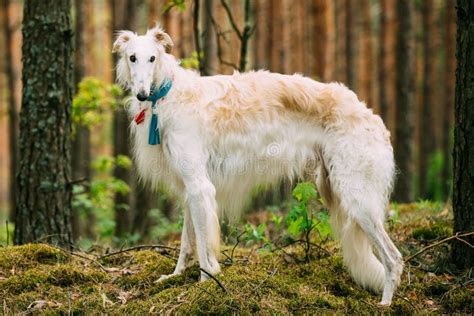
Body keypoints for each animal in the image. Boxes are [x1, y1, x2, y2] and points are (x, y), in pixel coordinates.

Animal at [112, 25, 404, 306]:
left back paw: (386, 303)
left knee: (394, 258)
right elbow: (186, 243)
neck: (167, 94)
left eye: (152, 58)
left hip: (357, 198)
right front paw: (175, 276)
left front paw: (205, 284)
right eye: (132, 57)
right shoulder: (189, 189)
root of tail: (372, 117)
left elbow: (204, 248)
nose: (142, 94)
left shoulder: (200, 187)